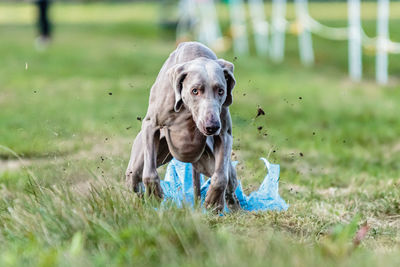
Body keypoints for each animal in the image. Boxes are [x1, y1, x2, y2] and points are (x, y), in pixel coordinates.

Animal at [126, 42, 238, 211]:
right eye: (195, 91)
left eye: (221, 91)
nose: (212, 126)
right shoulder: (151, 125)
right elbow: (149, 173)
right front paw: (154, 196)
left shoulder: (224, 133)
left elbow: (220, 177)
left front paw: (214, 202)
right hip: (144, 159)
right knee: (135, 178)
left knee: (230, 183)